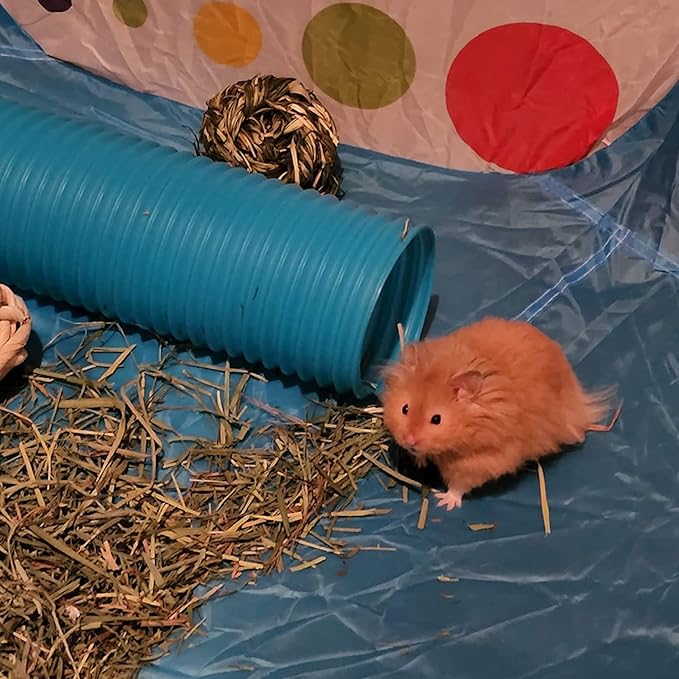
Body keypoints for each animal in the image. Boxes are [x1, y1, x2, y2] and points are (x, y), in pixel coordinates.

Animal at [380, 317, 620, 510]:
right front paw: (419, 460)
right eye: (405, 408)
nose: (409, 441)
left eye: (436, 419)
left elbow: (459, 484)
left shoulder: (482, 460)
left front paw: (445, 502)